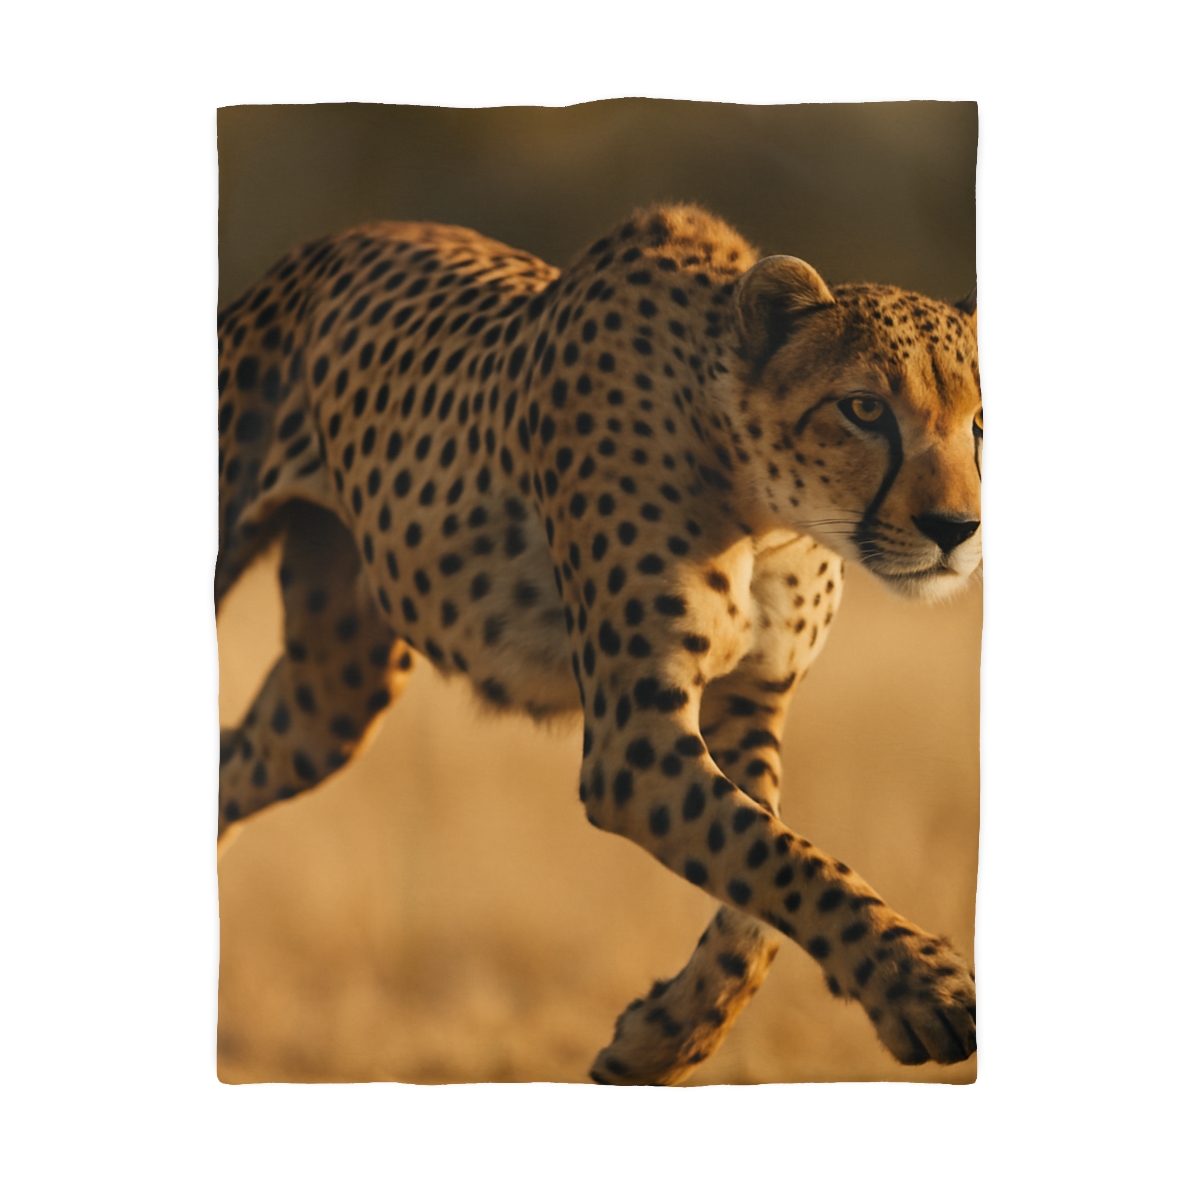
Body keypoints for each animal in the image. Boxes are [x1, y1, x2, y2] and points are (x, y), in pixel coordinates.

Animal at [216, 203, 982, 1085]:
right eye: (863, 409)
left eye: (980, 423)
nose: (957, 529)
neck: (766, 509)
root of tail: (334, 240)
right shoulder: (633, 746)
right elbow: (780, 856)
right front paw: (924, 988)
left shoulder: (748, 701)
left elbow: (764, 879)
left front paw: (662, 1037)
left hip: (336, 692)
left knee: (233, 760)